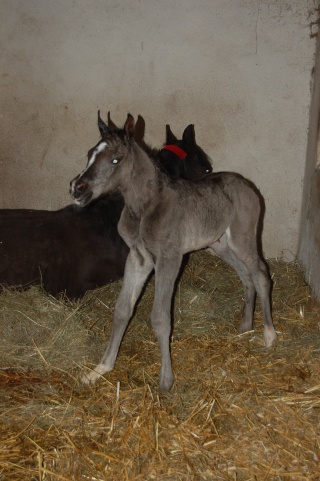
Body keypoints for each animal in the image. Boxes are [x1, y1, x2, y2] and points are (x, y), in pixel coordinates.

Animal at [70, 115, 278, 390]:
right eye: (90, 155)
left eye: (116, 159)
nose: (77, 188)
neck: (144, 207)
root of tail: (246, 184)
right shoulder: (138, 257)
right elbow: (122, 309)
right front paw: (100, 369)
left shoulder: (169, 258)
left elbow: (160, 317)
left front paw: (165, 380)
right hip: (221, 245)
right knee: (246, 277)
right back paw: (245, 328)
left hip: (243, 240)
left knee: (261, 275)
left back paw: (269, 335)